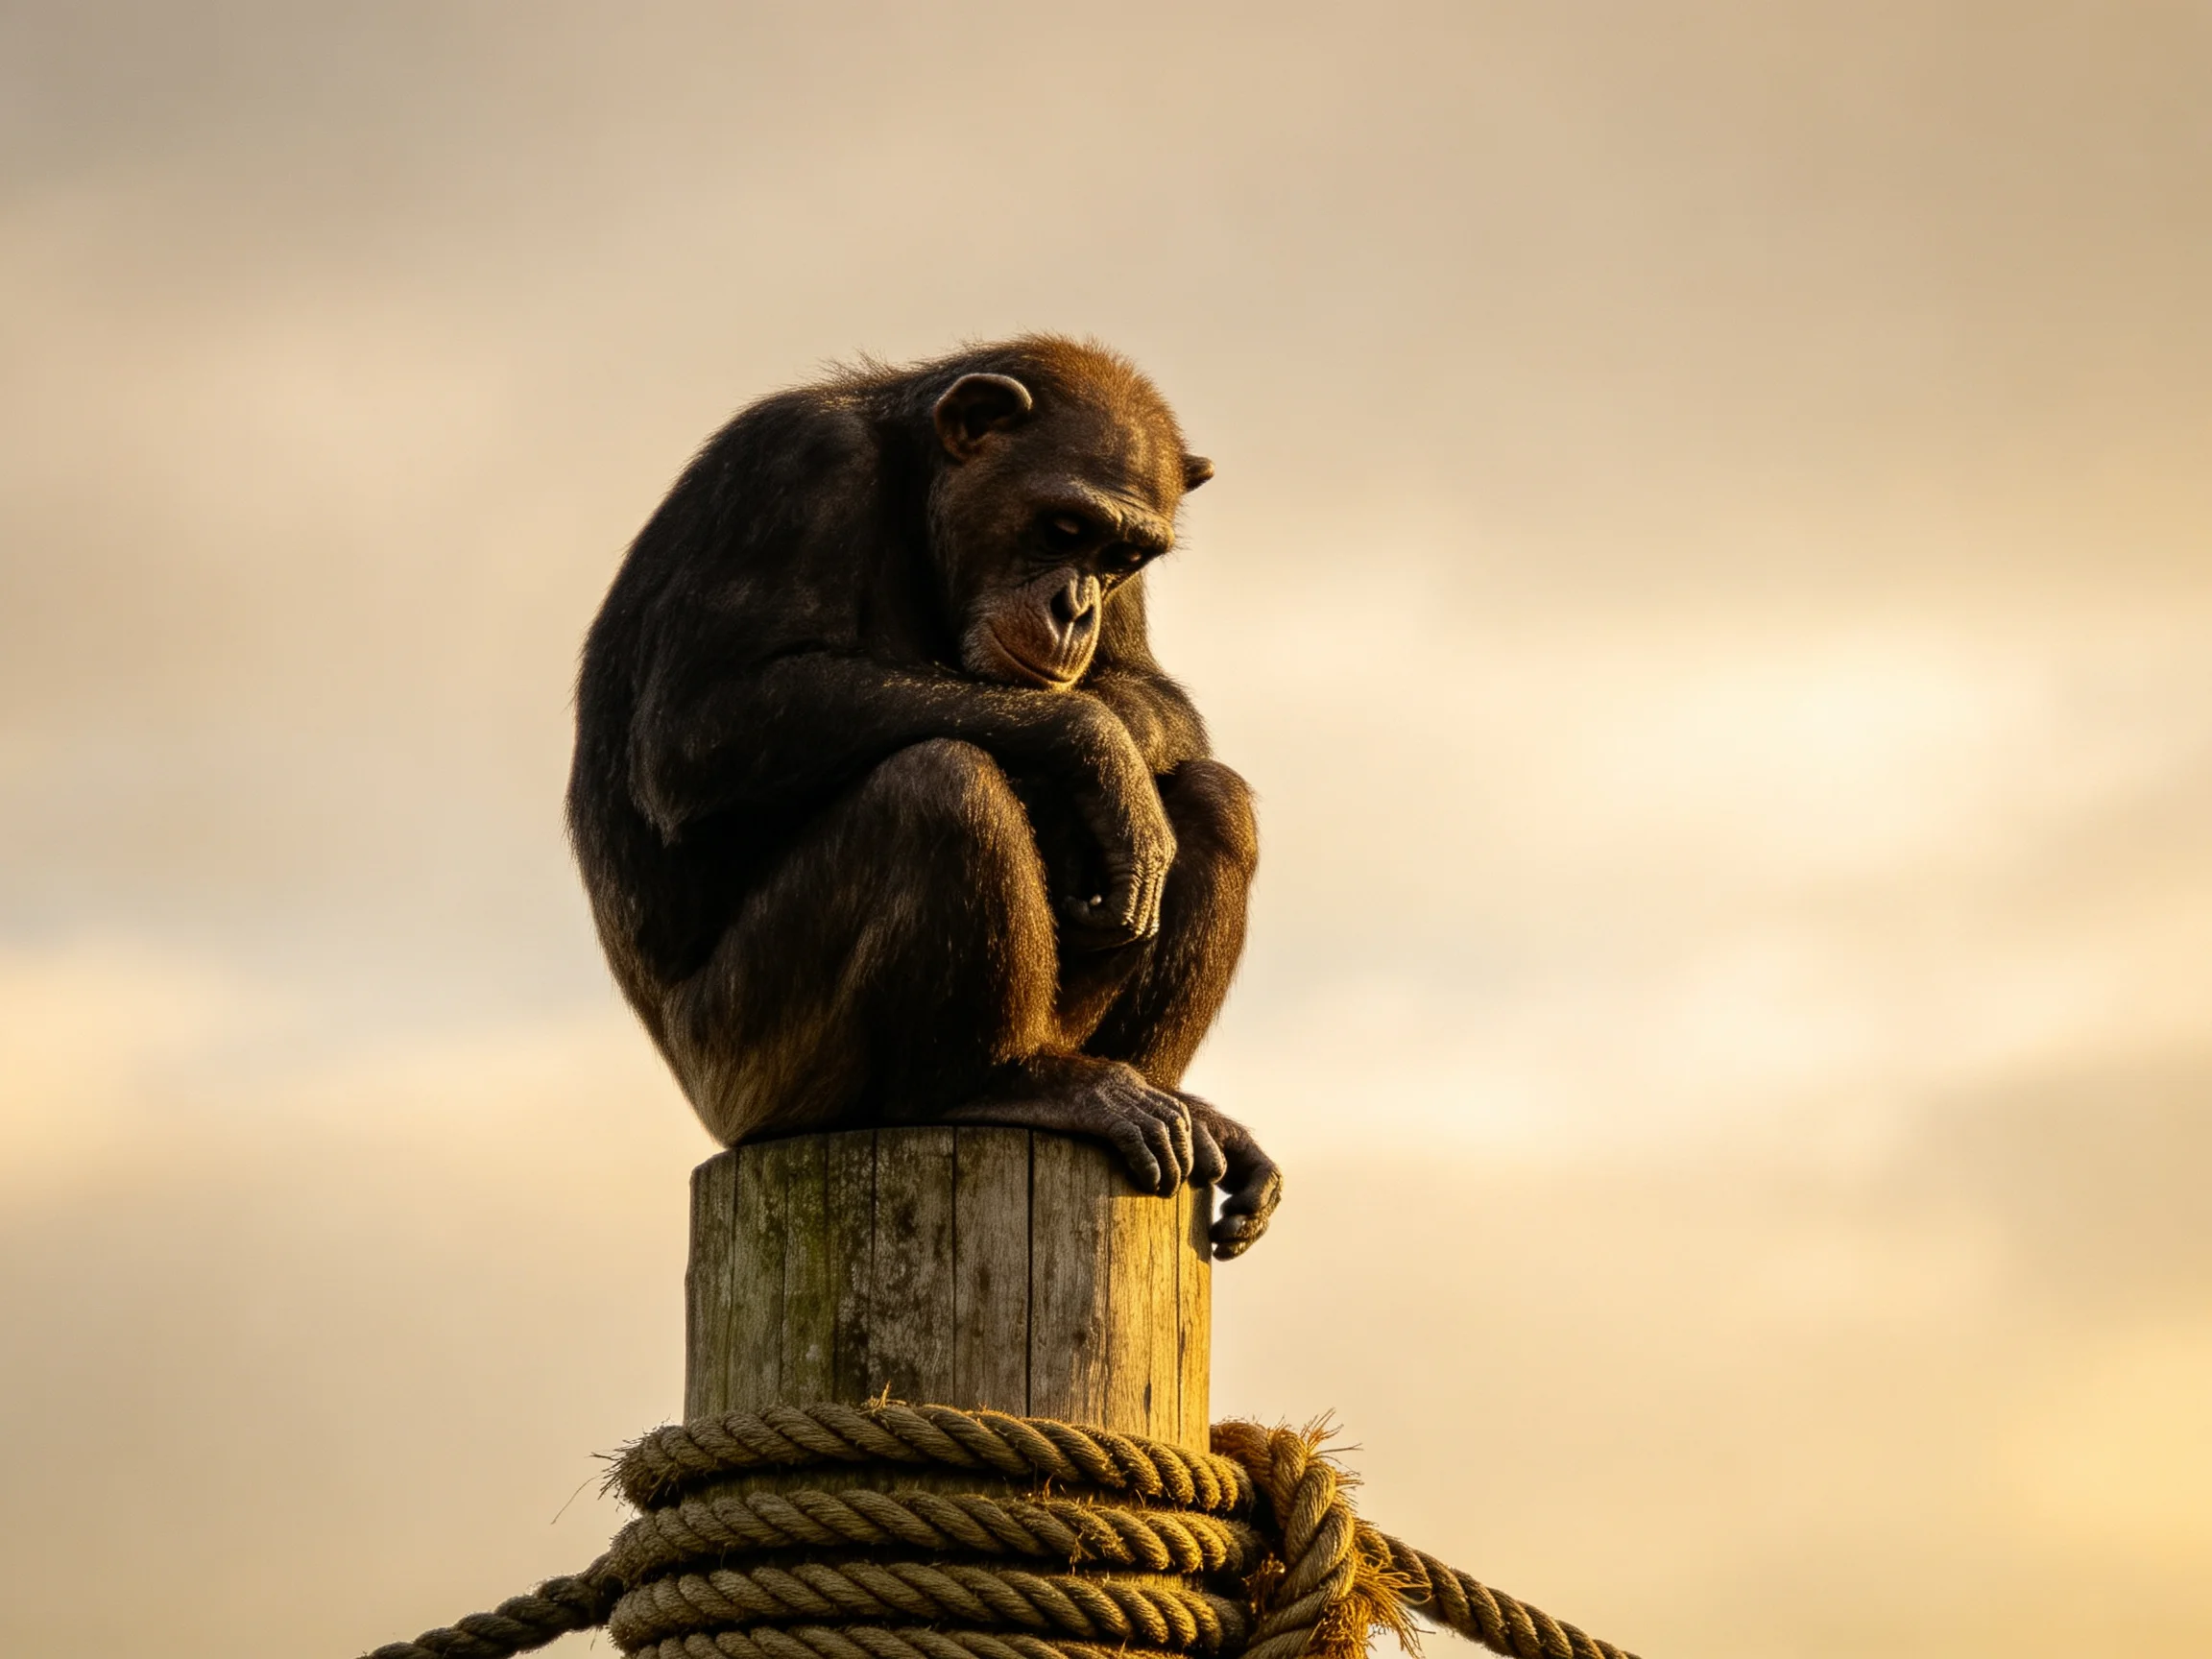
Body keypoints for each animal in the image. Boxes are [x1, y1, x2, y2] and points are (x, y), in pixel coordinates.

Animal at [567, 336, 1281, 1258]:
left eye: (1120, 558)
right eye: (1063, 528)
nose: (1076, 606)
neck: (913, 489)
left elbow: (1149, 689)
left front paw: (1113, 762)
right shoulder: (794, 465)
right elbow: (699, 725)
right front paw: (1096, 751)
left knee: (1216, 801)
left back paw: (1178, 1106)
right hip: (755, 1067)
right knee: (938, 783)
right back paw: (1002, 1081)